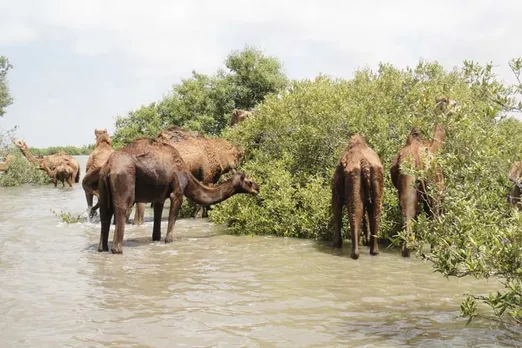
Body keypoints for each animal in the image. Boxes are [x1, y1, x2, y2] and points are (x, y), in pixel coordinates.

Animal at [96, 137, 258, 254]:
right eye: (249, 181)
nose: (258, 188)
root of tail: (108, 167)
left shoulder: (159, 197)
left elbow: (157, 221)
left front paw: (156, 239)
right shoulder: (177, 192)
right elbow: (172, 220)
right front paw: (168, 240)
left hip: (103, 188)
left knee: (105, 213)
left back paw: (102, 248)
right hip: (124, 180)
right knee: (121, 210)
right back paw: (117, 249)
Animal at [388, 96, 458, 256]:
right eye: (454, 103)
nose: (460, 107)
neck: (435, 147)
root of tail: (415, 158)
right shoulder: (437, 190)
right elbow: (435, 214)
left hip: (406, 180)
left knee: (406, 209)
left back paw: (406, 248)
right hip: (428, 186)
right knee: (427, 212)